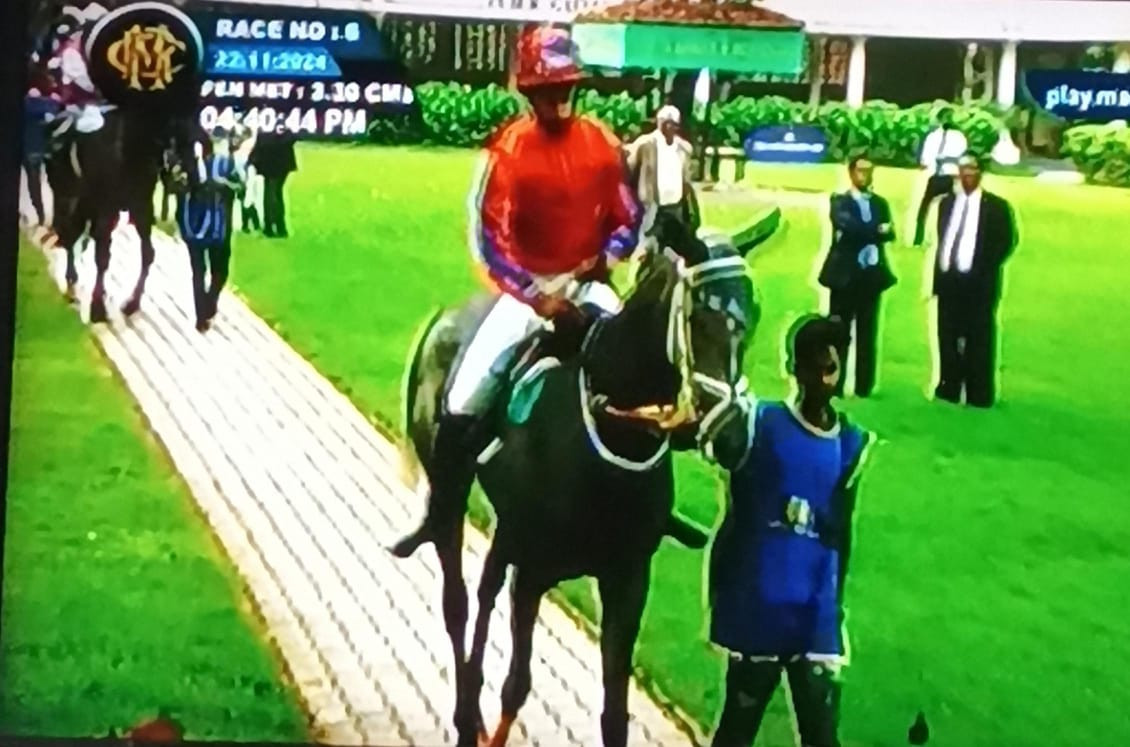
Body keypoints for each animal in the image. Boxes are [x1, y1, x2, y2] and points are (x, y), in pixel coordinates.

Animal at [44, 107, 191, 321]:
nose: (180, 176)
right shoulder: (103, 207)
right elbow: (101, 254)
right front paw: (97, 305)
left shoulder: (135, 208)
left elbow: (143, 253)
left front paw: (127, 303)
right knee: (74, 234)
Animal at [399, 237, 758, 747]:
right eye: (701, 319)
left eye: (753, 316)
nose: (733, 434)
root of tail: (441, 321)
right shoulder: (532, 571)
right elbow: (517, 685)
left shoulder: (627, 578)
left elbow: (615, 713)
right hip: (451, 491)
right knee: (458, 601)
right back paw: (466, 716)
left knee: (485, 588)